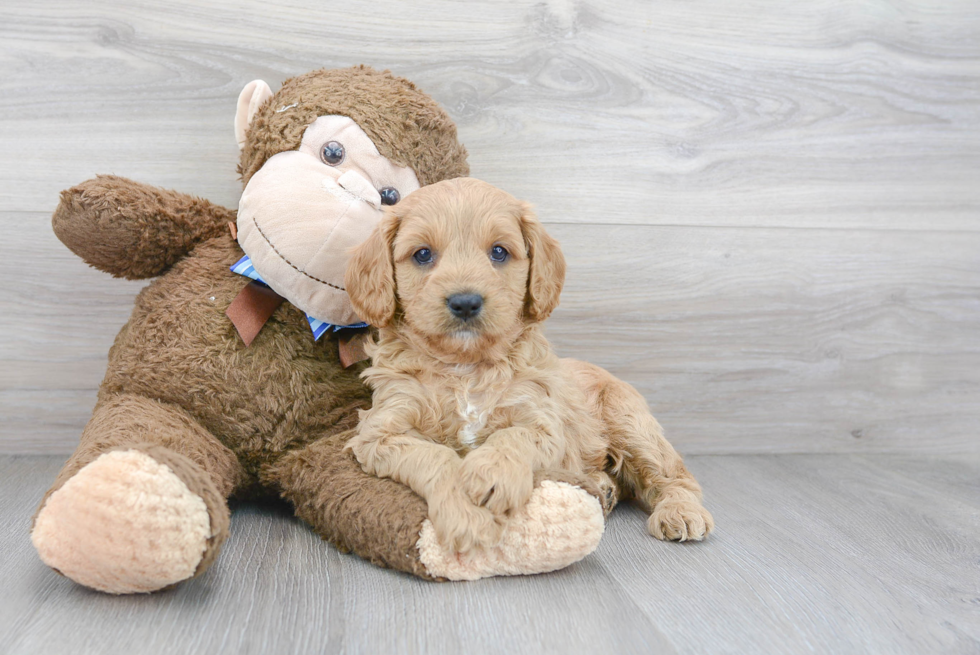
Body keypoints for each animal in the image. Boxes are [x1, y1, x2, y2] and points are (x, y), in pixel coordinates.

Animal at [344, 178, 712, 552]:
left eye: (499, 252)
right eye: (422, 254)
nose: (465, 302)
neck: (465, 369)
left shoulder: (542, 420)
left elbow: (512, 435)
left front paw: (491, 473)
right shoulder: (381, 431)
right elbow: (433, 455)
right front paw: (467, 516)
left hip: (631, 423)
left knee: (675, 475)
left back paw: (680, 512)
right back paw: (603, 488)